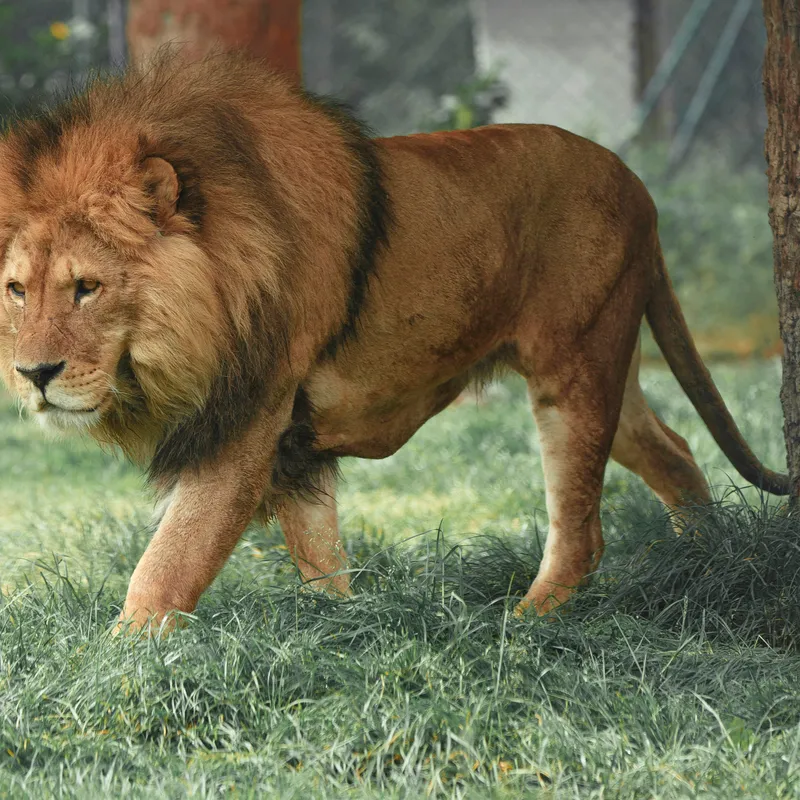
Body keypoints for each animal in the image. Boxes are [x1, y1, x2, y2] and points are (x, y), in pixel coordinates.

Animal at [0, 52, 788, 630]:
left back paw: (523, 624)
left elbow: (172, 559)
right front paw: (344, 630)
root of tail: (638, 184)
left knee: (582, 533)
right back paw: (708, 562)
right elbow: (318, 552)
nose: (33, 374)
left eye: (87, 287)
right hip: (604, 366)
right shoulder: (289, 439)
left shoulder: (248, 418)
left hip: (575, 368)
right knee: (674, 449)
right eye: (16, 291)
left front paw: (121, 659)